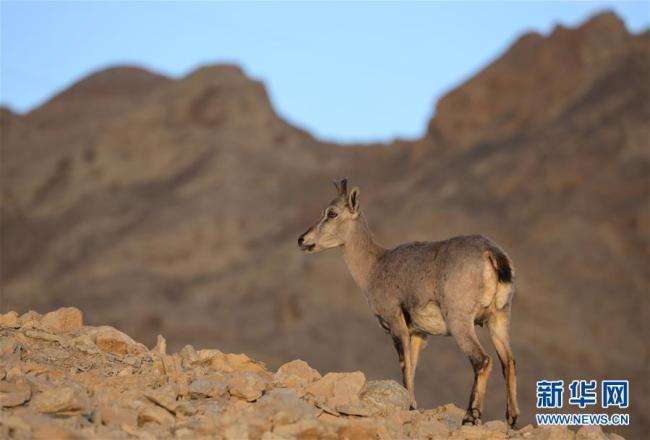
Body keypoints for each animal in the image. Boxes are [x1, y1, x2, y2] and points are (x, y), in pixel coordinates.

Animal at [298, 178, 516, 426]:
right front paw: (412, 405)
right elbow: (412, 366)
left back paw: (471, 416)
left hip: (460, 319)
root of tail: (491, 254)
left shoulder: (396, 323)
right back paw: (512, 418)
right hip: (499, 316)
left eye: (332, 213)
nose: (302, 240)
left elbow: (405, 364)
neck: (375, 267)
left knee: (482, 360)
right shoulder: (418, 333)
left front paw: (410, 406)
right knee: (508, 361)